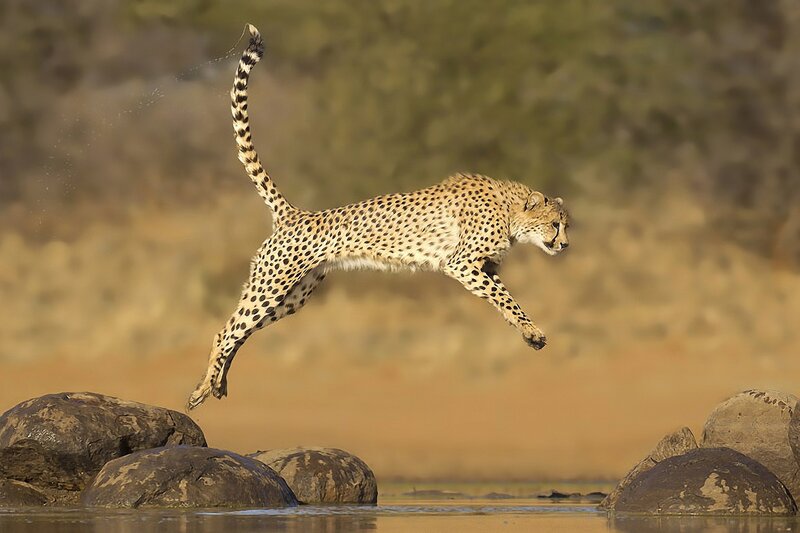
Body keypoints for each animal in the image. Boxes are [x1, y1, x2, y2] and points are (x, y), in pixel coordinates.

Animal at [187, 24, 570, 410]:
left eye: (567, 225)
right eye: (555, 224)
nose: (565, 245)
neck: (510, 210)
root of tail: (295, 214)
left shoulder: (484, 268)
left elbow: (504, 298)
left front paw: (528, 333)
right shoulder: (460, 263)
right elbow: (505, 298)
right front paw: (533, 331)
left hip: (294, 295)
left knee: (240, 332)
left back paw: (217, 385)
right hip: (272, 284)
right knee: (226, 331)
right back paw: (203, 388)